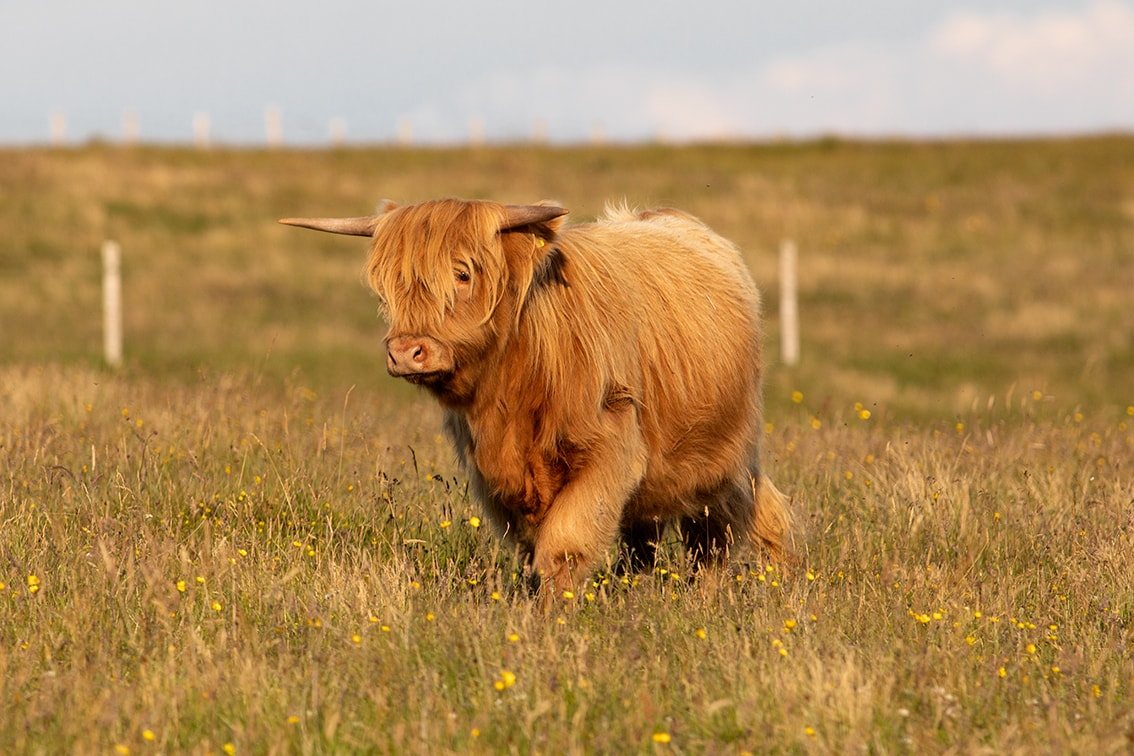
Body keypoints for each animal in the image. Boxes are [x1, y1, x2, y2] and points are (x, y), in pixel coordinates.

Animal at [280, 199, 793, 589]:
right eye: (387, 286)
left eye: (463, 274)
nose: (407, 352)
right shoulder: (493, 473)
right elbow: (534, 547)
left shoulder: (609, 448)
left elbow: (563, 546)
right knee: (644, 538)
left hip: (723, 459)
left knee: (724, 531)